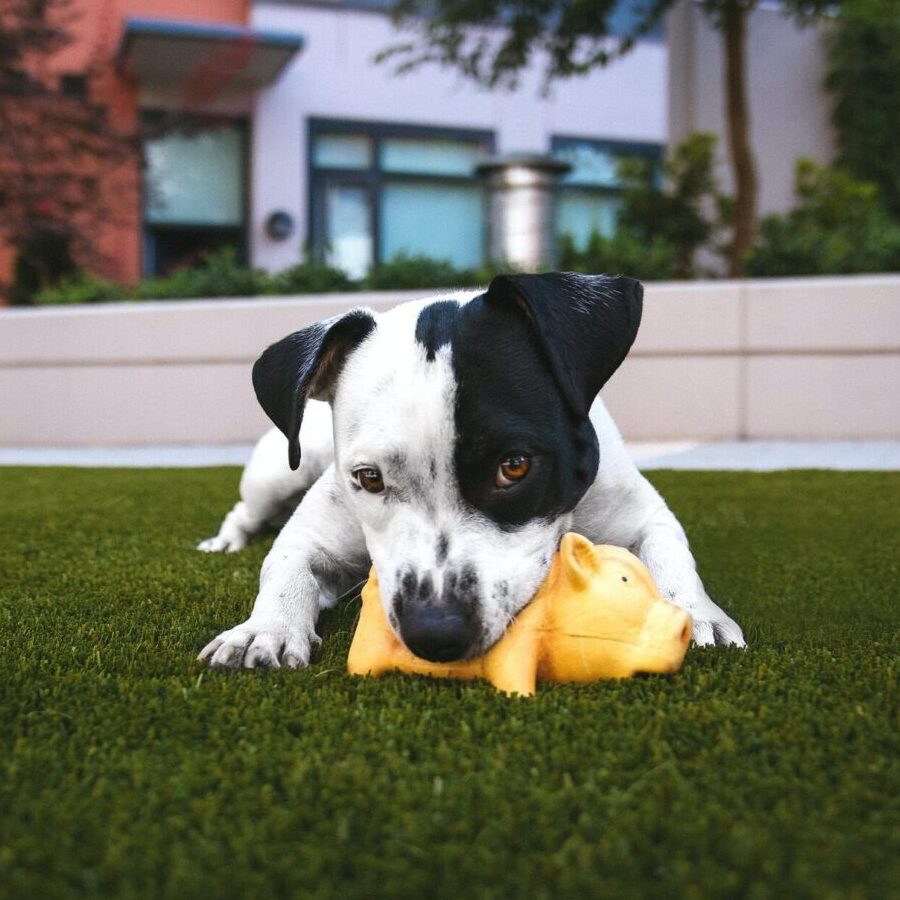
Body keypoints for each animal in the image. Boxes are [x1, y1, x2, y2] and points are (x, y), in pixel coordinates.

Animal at [199, 272, 744, 668]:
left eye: (515, 466)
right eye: (369, 478)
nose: (435, 632)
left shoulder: (642, 514)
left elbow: (671, 555)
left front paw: (695, 613)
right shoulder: (313, 534)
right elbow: (285, 567)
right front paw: (263, 630)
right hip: (278, 473)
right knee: (244, 511)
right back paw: (225, 542)